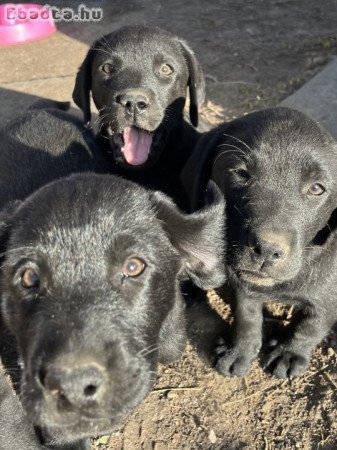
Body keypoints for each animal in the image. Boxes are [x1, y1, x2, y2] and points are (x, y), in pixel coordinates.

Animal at [181, 107, 337, 378]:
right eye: (241, 172)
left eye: (317, 188)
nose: (267, 250)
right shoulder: (244, 287)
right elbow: (247, 319)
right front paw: (238, 352)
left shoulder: (328, 297)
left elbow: (310, 326)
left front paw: (290, 353)